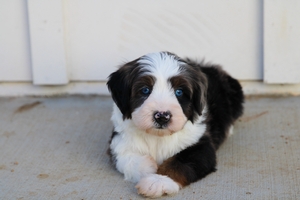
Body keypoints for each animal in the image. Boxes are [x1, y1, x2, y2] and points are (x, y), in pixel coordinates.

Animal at [106, 51, 243, 198]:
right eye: (145, 90)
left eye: (179, 92)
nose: (162, 117)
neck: (158, 137)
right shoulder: (120, 141)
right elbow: (128, 159)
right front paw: (149, 168)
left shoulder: (200, 145)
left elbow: (178, 163)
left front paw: (158, 181)